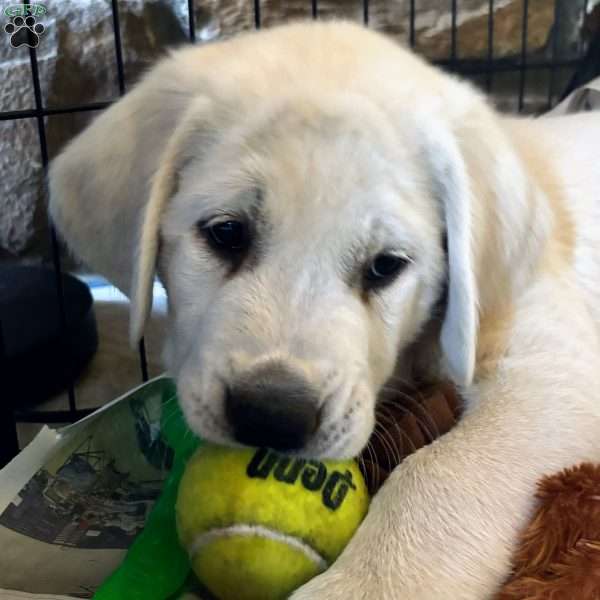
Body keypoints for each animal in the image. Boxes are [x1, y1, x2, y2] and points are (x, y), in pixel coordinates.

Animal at [49, 21, 600, 600]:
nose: (272, 416)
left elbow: (441, 470)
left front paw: (366, 583)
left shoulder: (550, 368)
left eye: (385, 265)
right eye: (226, 233)